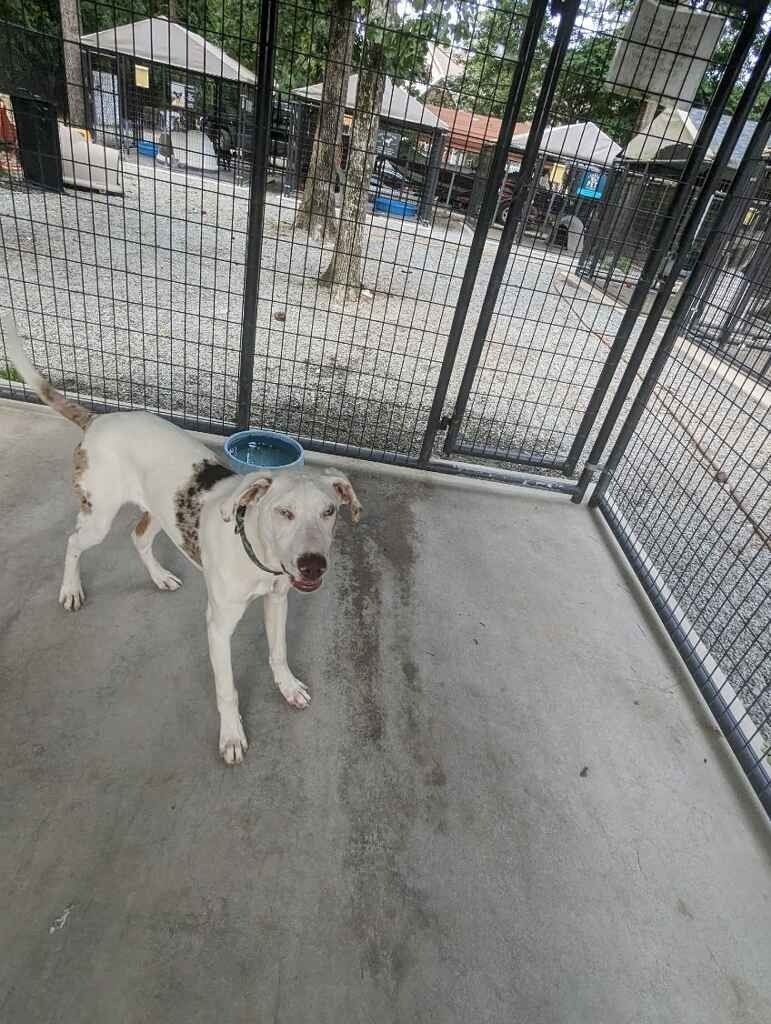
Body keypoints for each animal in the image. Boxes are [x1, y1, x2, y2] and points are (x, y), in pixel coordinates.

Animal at [3, 319, 360, 761]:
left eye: (330, 512)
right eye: (284, 512)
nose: (314, 564)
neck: (258, 559)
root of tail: (98, 420)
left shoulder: (278, 601)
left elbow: (278, 652)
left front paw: (288, 686)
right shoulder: (218, 627)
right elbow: (227, 689)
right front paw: (231, 736)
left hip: (160, 511)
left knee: (137, 537)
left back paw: (159, 577)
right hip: (99, 516)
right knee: (73, 541)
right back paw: (71, 590)